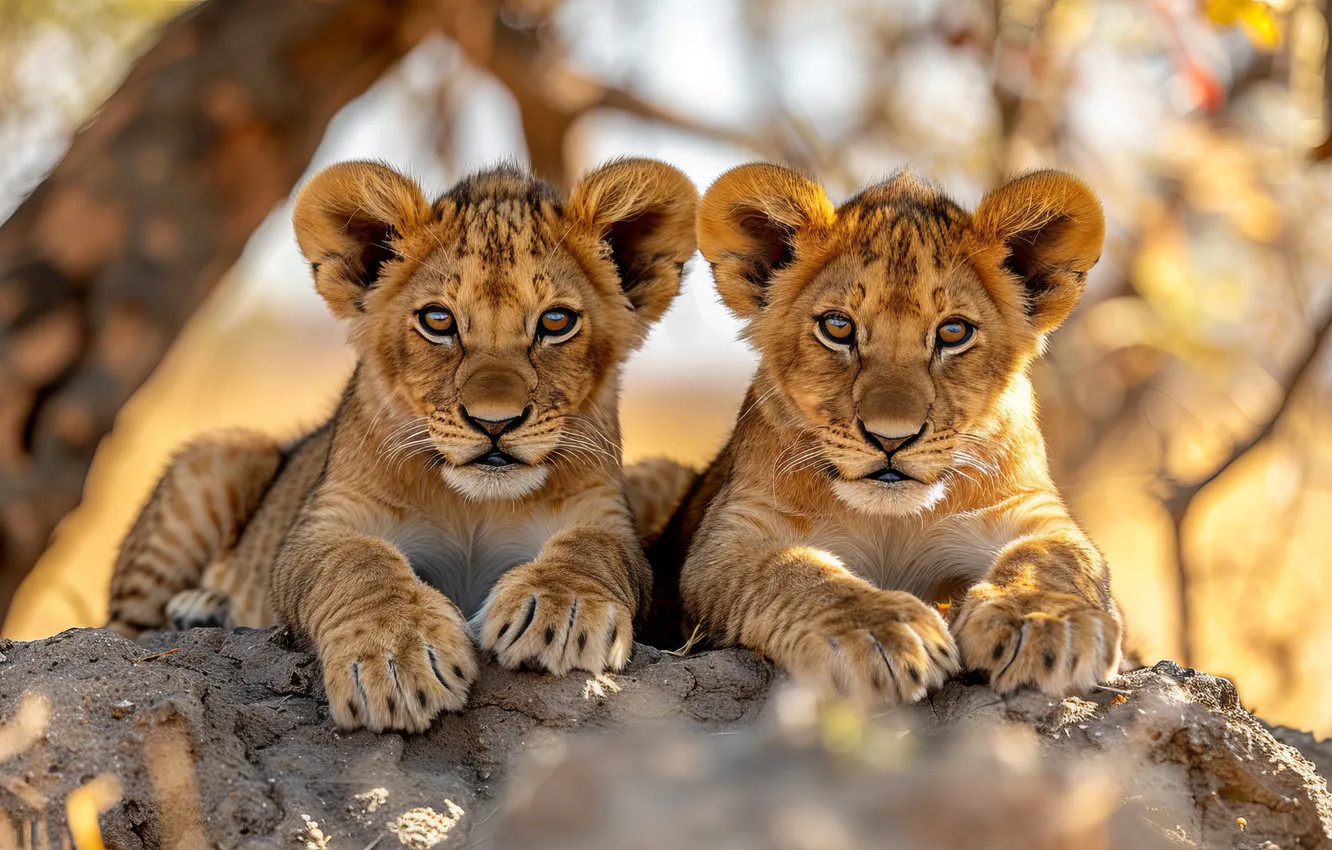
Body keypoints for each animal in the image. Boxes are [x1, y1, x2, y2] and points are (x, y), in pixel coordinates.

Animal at [107, 158, 699, 732]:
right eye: (438, 320)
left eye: (556, 321)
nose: (495, 423)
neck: (475, 504)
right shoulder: (321, 525)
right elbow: (357, 563)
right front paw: (394, 662)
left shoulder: (608, 517)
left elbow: (594, 549)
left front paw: (560, 610)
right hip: (220, 456)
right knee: (124, 630)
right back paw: (198, 608)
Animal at [641, 163, 1123, 705]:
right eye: (837, 327)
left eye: (954, 332)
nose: (891, 439)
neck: (892, 521)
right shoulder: (730, 538)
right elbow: (795, 571)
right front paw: (877, 632)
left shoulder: (1030, 508)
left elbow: (1054, 556)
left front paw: (1042, 621)